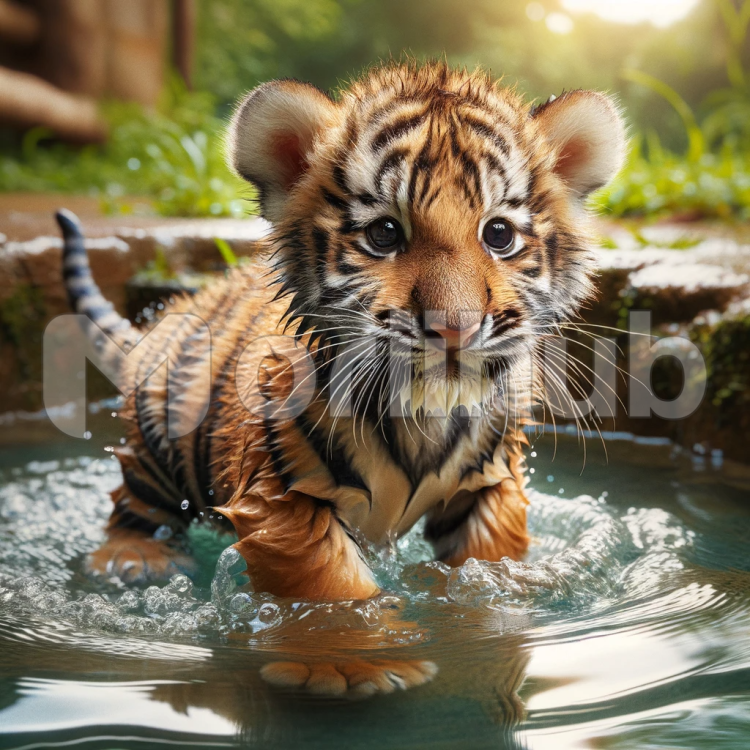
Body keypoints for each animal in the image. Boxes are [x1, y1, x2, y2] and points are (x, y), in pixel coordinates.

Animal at [56, 61, 625, 697]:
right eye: (384, 234)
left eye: (498, 234)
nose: (453, 328)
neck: (423, 413)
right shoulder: (283, 492)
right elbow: (328, 592)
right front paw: (352, 665)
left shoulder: (489, 486)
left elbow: (483, 570)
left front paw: (474, 625)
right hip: (156, 438)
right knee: (134, 505)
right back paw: (133, 560)